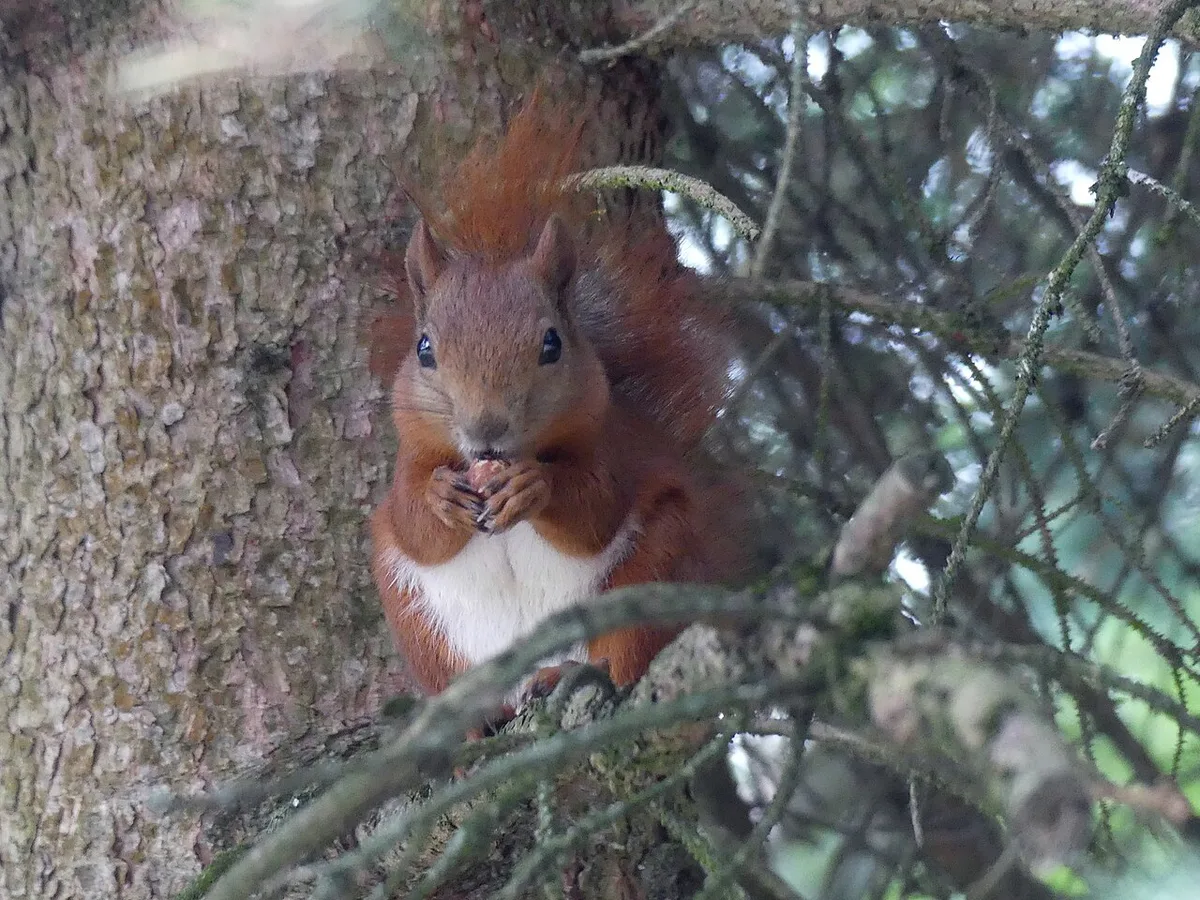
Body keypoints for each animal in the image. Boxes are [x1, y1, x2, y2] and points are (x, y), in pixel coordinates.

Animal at [368, 95, 744, 708]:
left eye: (552, 344)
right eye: (424, 348)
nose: (486, 430)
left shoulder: (611, 446)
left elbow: (594, 510)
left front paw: (533, 485)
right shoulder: (409, 462)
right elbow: (412, 521)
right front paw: (440, 495)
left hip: (652, 572)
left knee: (621, 657)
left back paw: (568, 673)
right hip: (418, 622)